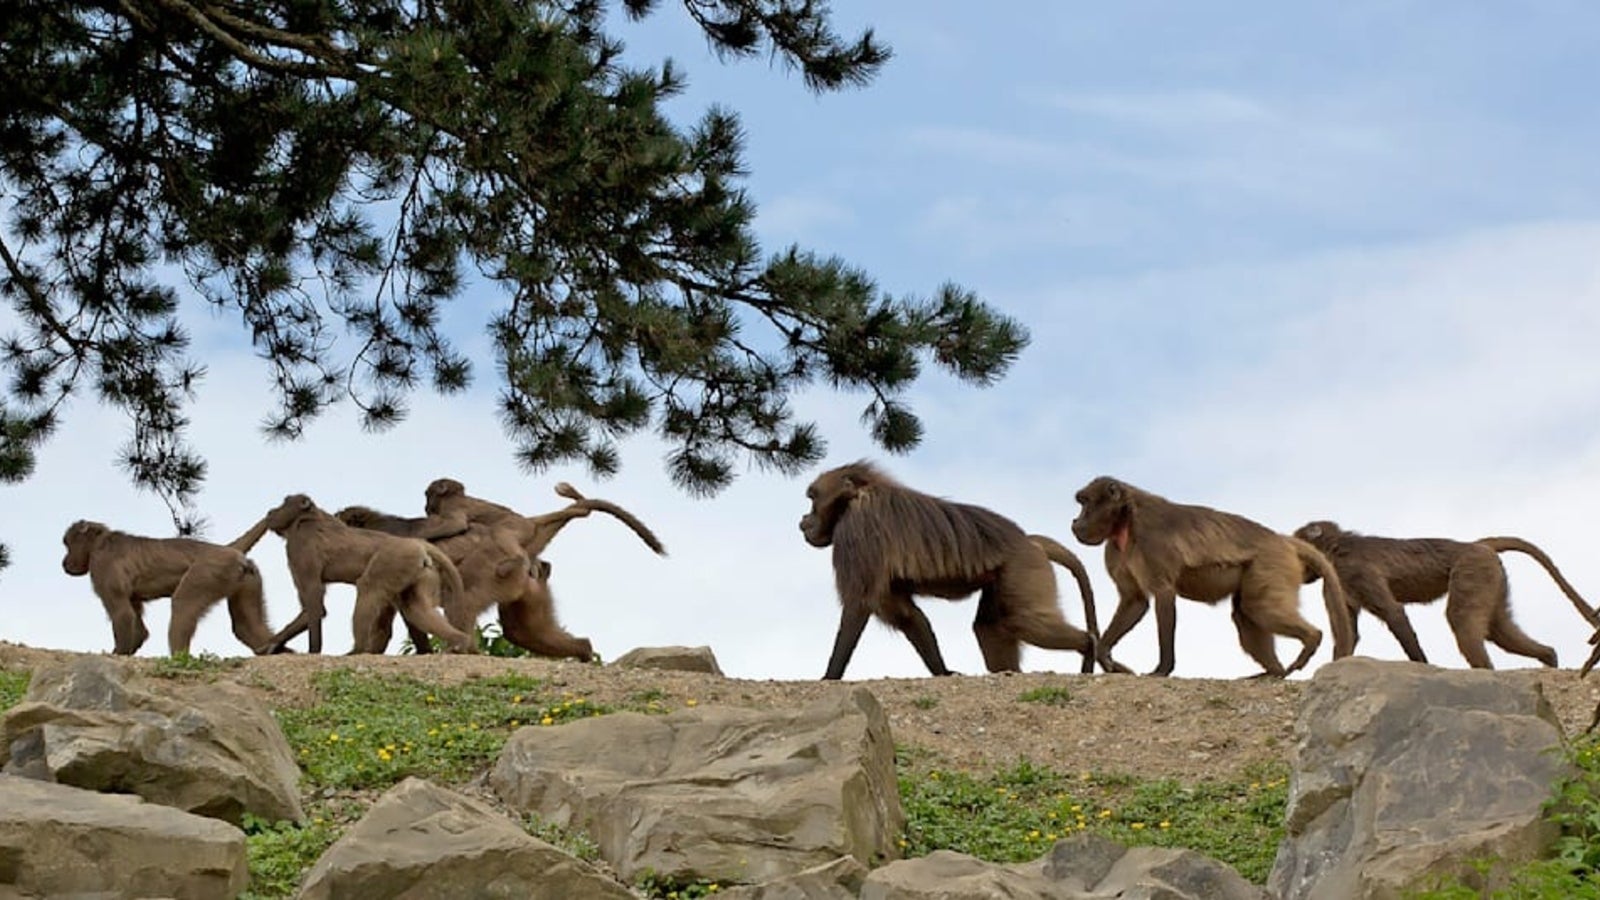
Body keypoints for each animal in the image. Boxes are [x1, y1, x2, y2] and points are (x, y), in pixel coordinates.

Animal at [60, 518, 281, 657]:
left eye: (68, 544)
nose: (65, 562)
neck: (101, 541)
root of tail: (226, 549)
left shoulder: (102, 565)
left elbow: (123, 614)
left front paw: (118, 654)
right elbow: (139, 627)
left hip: (209, 571)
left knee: (182, 605)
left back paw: (179, 658)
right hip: (246, 578)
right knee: (246, 627)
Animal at [254, 494, 477, 655]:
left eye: (284, 502)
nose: (271, 511)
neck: (305, 518)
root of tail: (418, 545)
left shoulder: (299, 546)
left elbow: (314, 603)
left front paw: (313, 651)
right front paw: (273, 644)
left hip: (394, 559)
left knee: (368, 588)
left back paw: (357, 650)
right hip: (416, 569)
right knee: (415, 608)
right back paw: (459, 642)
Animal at [797, 461, 1100, 680]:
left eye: (813, 498)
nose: (803, 521)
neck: (857, 495)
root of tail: (1029, 540)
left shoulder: (858, 529)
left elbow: (858, 604)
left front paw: (829, 677)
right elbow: (908, 616)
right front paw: (944, 672)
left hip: (1023, 567)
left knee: (1022, 619)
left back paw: (1089, 647)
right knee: (990, 626)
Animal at [1070, 476, 1355, 678]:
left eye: (1085, 503)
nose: (1075, 521)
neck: (1127, 519)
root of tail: (1281, 539)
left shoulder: (1151, 543)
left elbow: (1163, 594)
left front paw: (1162, 670)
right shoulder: (1115, 551)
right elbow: (1135, 601)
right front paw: (1104, 655)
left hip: (1271, 562)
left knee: (1258, 608)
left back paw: (1310, 640)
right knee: (1246, 612)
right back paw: (1273, 673)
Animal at [1294, 521, 1599, 669]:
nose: (1299, 570)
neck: (1336, 547)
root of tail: (1476, 545)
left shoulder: (1354, 571)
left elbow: (1394, 613)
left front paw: (1422, 665)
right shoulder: (1338, 581)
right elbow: (1348, 635)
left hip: (1473, 569)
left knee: (1462, 620)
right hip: (1490, 575)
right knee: (1498, 629)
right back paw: (1549, 658)